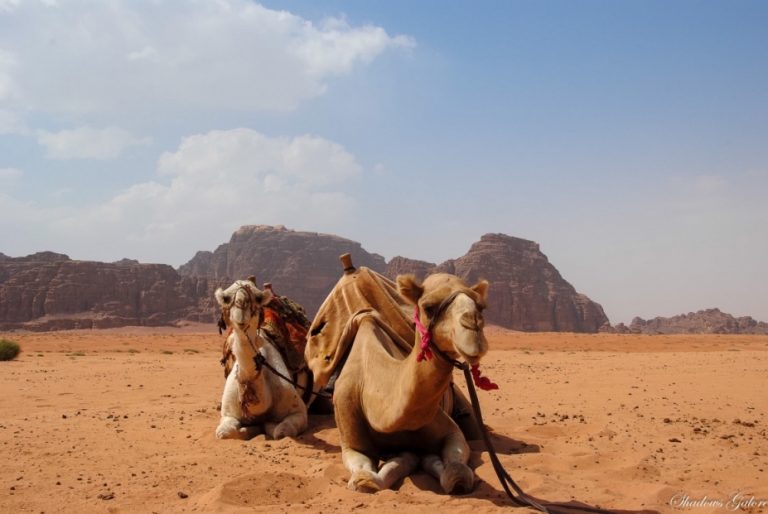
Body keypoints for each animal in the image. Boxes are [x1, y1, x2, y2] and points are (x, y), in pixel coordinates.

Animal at [213, 278, 308, 438]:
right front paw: (246, 429)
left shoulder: (299, 412)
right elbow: (225, 433)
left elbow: (281, 432)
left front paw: (265, 426)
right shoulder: (228, 414)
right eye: (226, 298)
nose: (241, 303)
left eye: (257, 298)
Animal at [328, 268, 488, 492]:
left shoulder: (452, 432)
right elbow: (363, 477)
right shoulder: (350, 436)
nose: (474, 327)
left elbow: (457, 472)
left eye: (481, 307)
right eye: (428, 307)